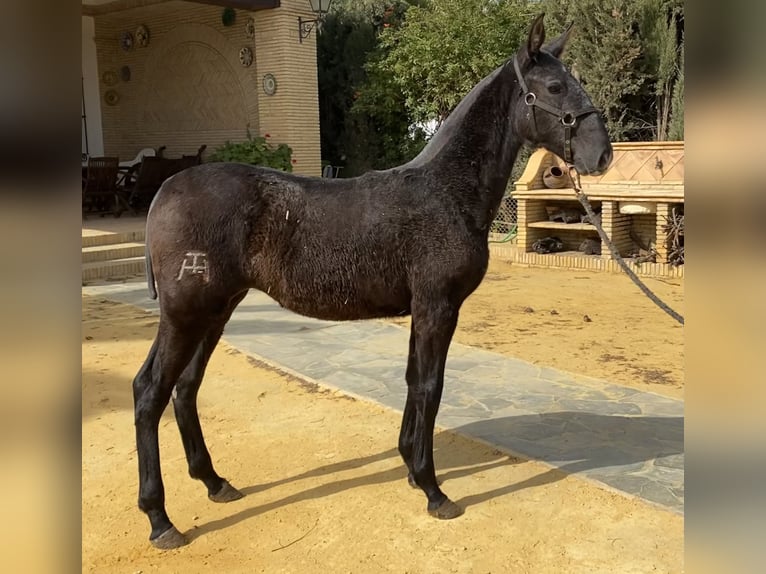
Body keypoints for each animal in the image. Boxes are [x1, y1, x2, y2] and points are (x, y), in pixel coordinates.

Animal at [132, 13, 612, 552]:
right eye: (554, 87)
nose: (602, 155)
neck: (446, 192)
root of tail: (165, 190)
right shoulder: (438, 306)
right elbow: (430, 386)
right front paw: (433, 489)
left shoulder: (423, 309)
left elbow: (413, 381)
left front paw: (410, 467)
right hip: (185, 314)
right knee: (150, 391)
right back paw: (160, 519)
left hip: (215, 311)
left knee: (185, 388)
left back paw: (215, 482)